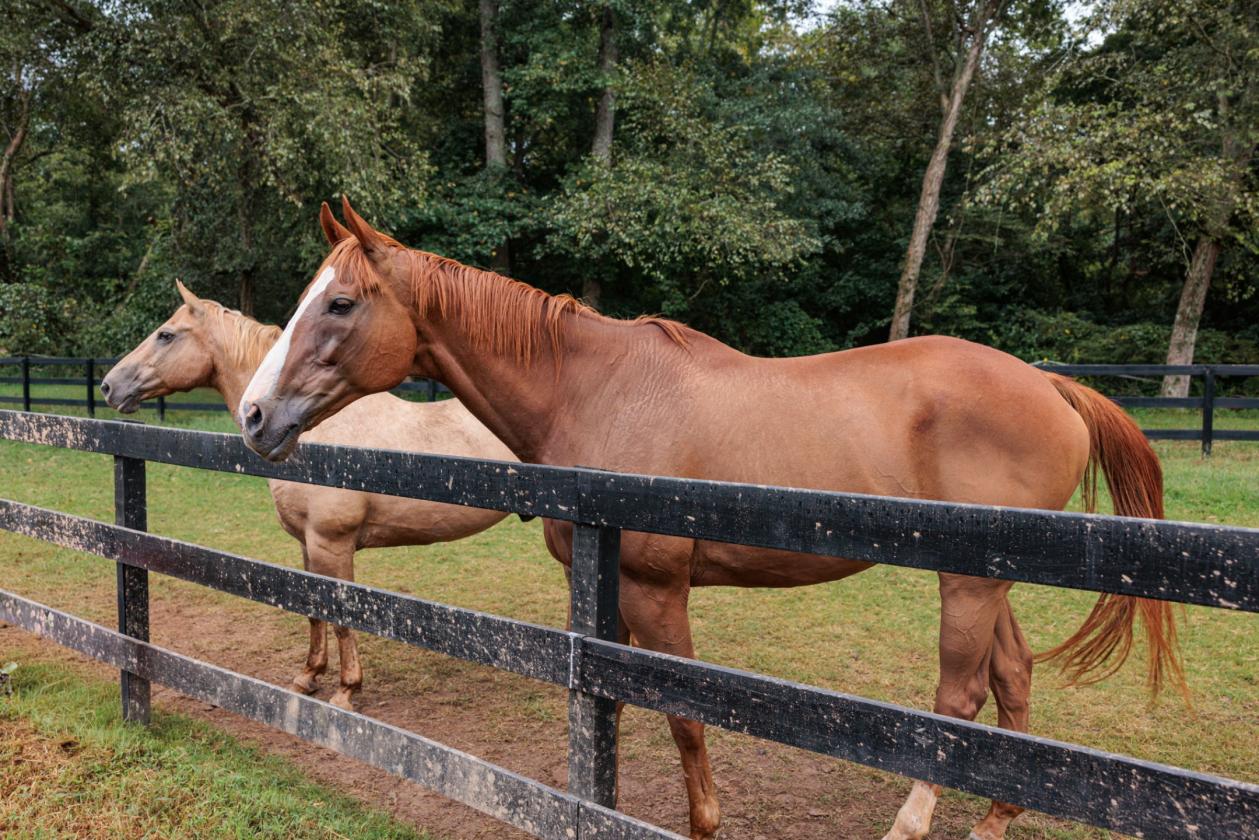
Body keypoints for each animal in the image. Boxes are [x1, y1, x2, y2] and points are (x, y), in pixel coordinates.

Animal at [101, 280, 517, 711]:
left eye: (165, 335)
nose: (109, 385)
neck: (318, 437)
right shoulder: (306, 542)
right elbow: (313, 610)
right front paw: (308, 676)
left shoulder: (331, 544)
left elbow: (342, 616)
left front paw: (347, 691)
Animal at [237, 198, 1182, 840]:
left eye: (341, 304)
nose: (252, 415)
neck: (595, 390)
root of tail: (1049, 384)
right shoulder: (606, 594)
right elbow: (612, 705)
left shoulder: (656, 588)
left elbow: (683, 714)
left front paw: (703, 823)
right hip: (992, 578)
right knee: (1012, 678)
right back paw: (995, 816)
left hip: (967, 582)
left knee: (958, 697)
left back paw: (913, 823)